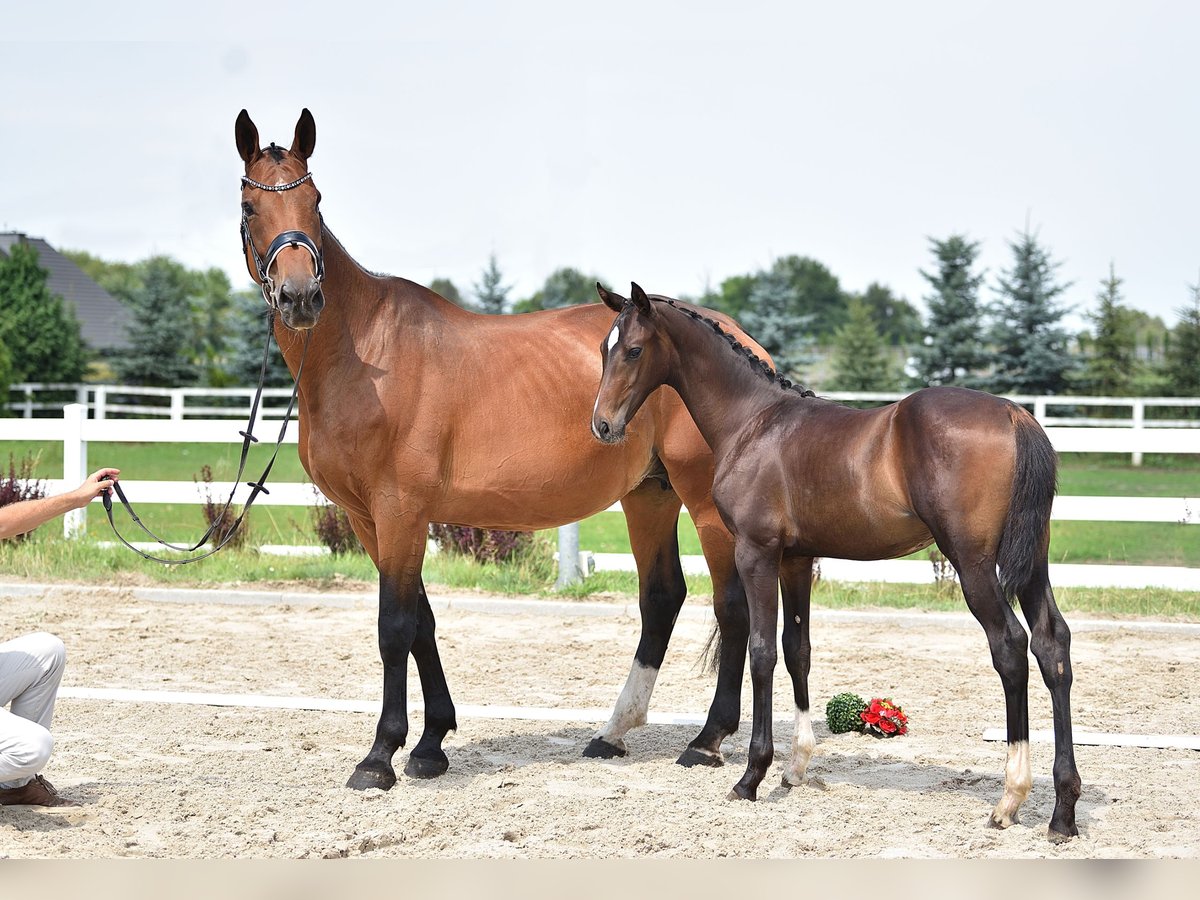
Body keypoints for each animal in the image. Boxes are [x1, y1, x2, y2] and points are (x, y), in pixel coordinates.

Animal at [585, 283, 1084, 844]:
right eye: (604, 349)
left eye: (634, 350)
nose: (602, 425)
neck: (753, 422)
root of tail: (1015, 414)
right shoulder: (797, 560)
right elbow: (797, 649)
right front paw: (796, 767)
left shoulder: (756, 553)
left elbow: (761, 651)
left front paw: (752, 776)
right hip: (1032, 562)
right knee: (1052, 645)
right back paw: (1062, 811)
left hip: (973, 563)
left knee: (1011, 647)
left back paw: (1010, 798)